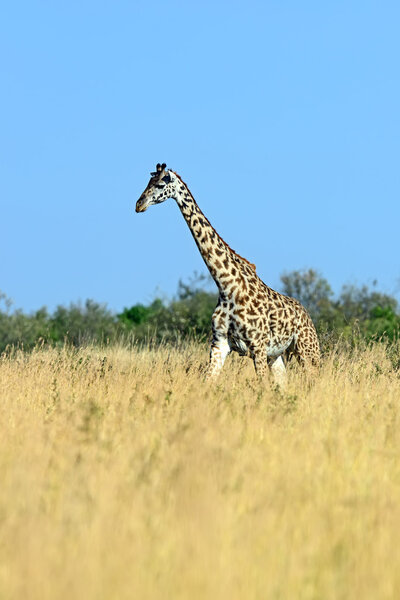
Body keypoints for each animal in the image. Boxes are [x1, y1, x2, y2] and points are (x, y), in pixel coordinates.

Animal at [136, 162, 320, 382]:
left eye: (160, 184)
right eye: (148, 182)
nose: (139, 204)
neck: (226, 286)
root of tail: (307, 313)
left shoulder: (257, 346)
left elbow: (262, 385)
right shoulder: (219, 344)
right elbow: (208, 381)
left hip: (307, 350)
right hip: (276, 355)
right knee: (283, 381)